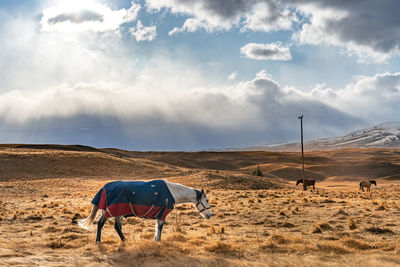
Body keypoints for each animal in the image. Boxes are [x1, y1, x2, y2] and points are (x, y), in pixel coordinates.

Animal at [76, 181, 211, 244]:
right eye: (207, 200)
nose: (209, 215)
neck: (172, 193)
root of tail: (104, 187)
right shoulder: (162, 214)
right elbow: (159, 228)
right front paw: (158, 240)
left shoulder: (159, 215)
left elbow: (157, 228)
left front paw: (155, 240)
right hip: (110, 211)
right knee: (100, 224)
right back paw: (98, 241)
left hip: (118, 213)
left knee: (117, 227)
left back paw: (124, 240)